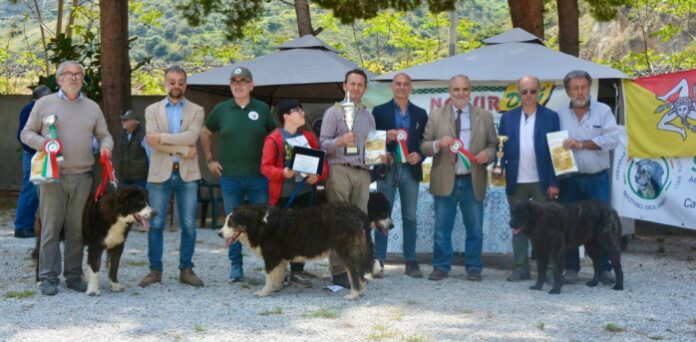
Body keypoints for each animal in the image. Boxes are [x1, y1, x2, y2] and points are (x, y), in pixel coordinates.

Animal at [218, 192, 392, 300]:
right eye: (226, 222)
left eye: (231, 223)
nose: (219, 233)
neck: (261, 222)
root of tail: (357, 211)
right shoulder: (279, 257)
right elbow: (278, 275)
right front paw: (276, 288)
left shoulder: (271, 256)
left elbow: (269, 276)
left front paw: (264, 292)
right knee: (360, 273)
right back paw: (360, 292)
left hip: (347, 251)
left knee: (355, 273)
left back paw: (354, 294)